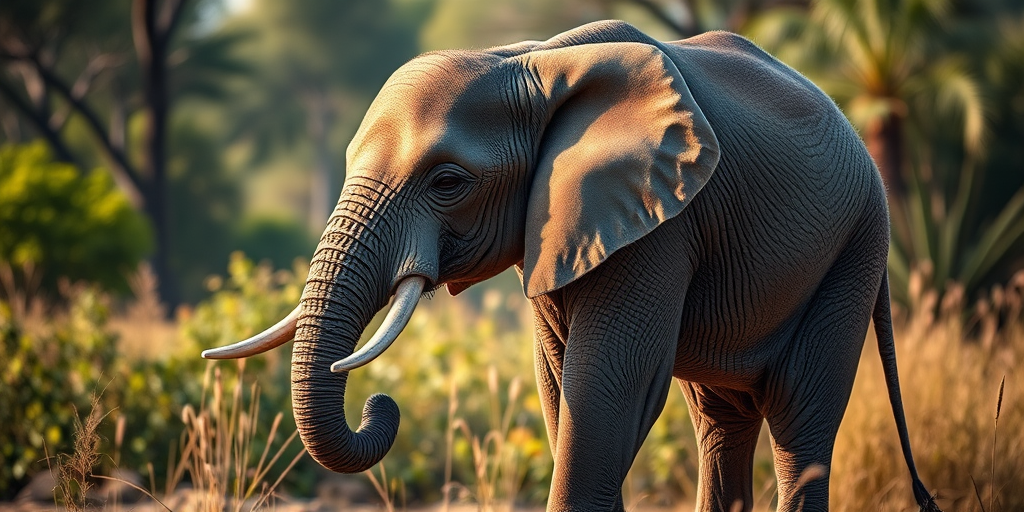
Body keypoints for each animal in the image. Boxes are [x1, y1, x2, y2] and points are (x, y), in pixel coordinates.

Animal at [203, 20, 941, 512]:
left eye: (448, 182)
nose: (379, 404)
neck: (530, 60)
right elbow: (564, 392)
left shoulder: (661, 226)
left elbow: (606, 397)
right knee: (721, 423)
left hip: (855, 248)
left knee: (798, 419)